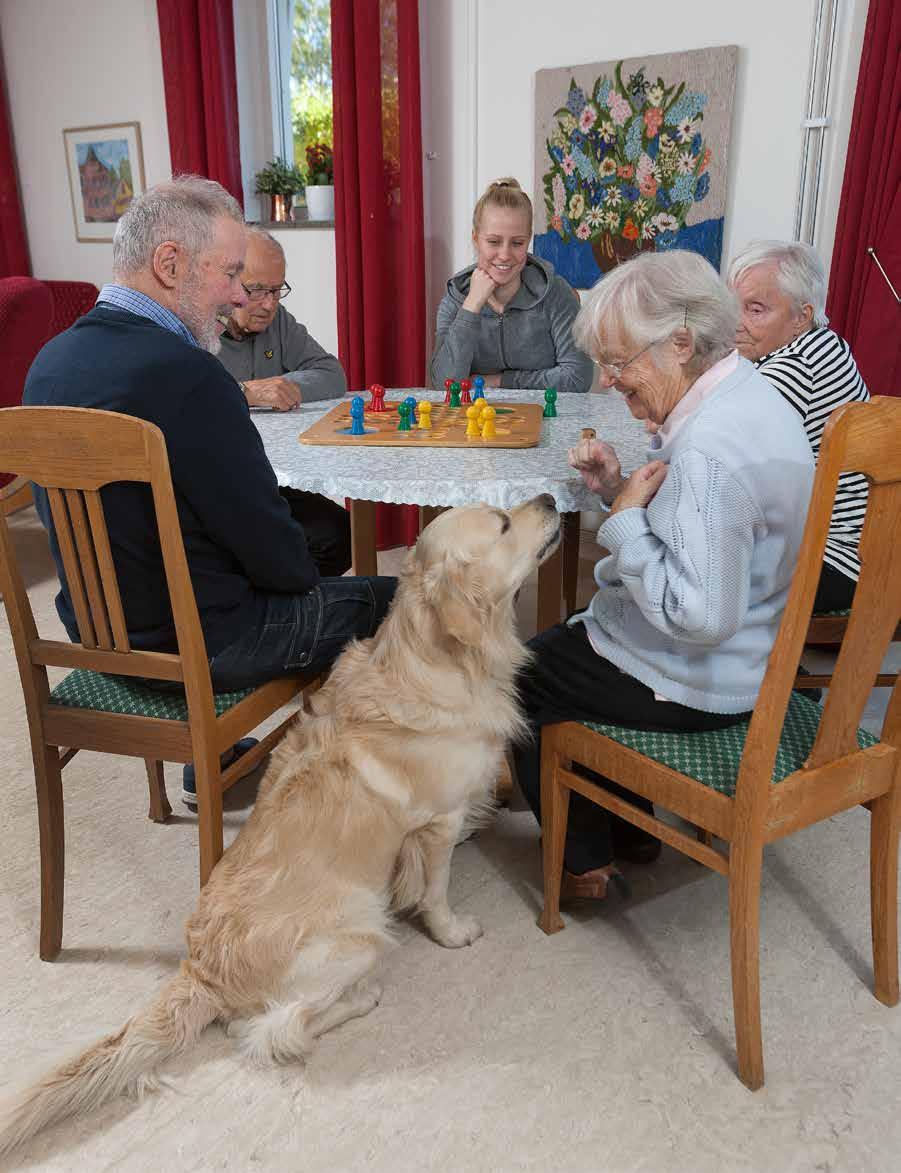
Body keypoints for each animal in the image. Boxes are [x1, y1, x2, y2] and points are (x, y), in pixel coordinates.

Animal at [0, 492, 558, 1154]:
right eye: (502, 524)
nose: (553, 498)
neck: (433, 660)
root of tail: (203, 971)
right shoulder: (436, 824)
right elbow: (437, 889)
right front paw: (452, 932)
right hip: (360, 935)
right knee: (277, 1031)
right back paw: (362, 998)